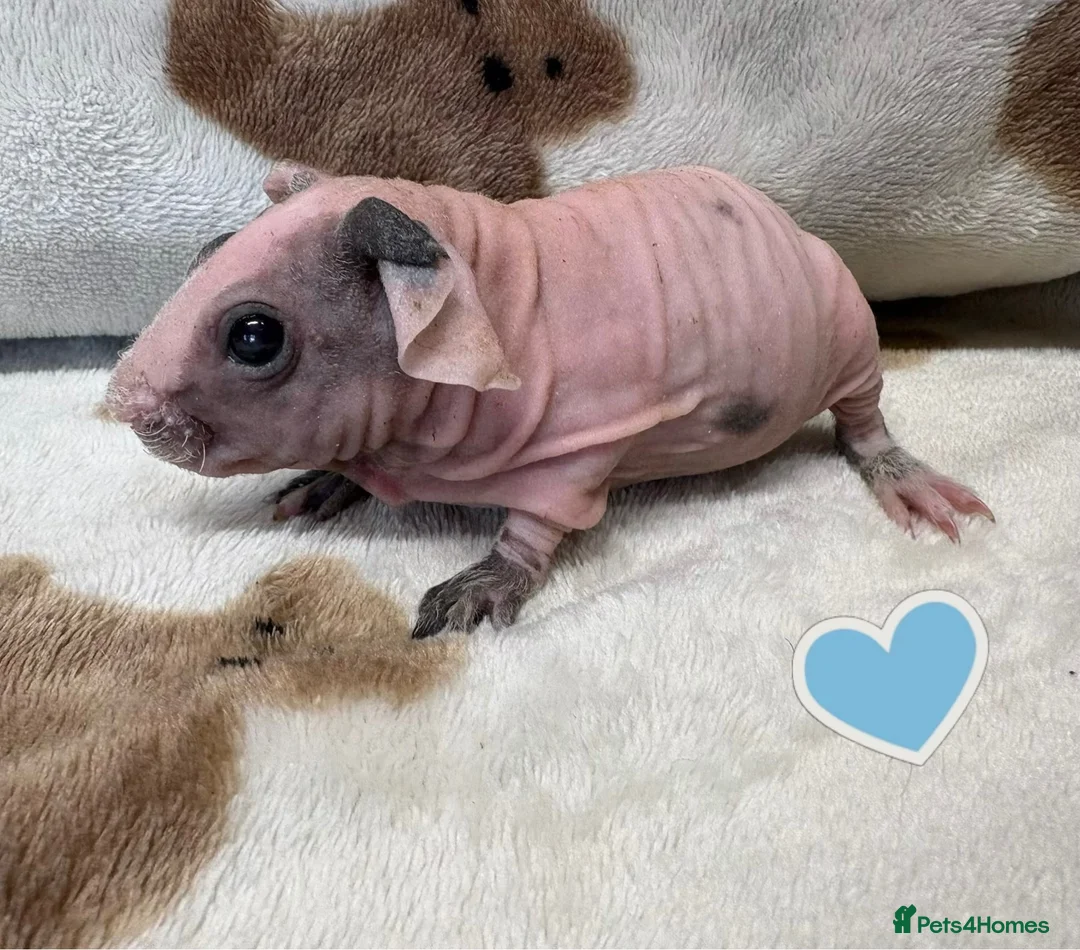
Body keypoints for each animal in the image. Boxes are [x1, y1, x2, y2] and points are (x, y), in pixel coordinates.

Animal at [105, 162, 994, 638]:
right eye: (207, 253)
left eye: (254, 337)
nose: (122, 404)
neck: (482, 285)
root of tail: (784, 219)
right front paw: (328, 480)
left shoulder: (582, 443)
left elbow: (541, 521)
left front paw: (485, 581)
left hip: (845, 322)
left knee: (862, 420)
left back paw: (904, 476)